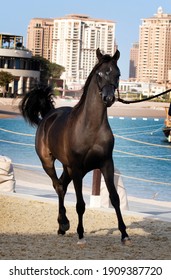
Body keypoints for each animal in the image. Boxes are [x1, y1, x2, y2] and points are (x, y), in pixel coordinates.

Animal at [19, 49, 130, 244]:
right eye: (99, 74)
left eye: (117, 74)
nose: (108, 98)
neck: (90, 127)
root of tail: (48, 115)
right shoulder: (78, 168)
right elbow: (80, 204)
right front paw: (80, 234)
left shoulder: (106, 164)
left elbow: (115, 198)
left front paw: (124, 234)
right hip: (48, 163)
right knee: (58, 186)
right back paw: (64, 223)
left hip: (67, 168)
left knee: (62, 186)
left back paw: (61, 226)